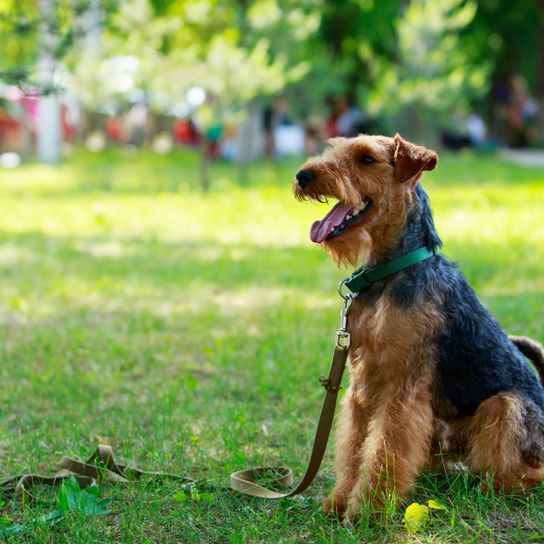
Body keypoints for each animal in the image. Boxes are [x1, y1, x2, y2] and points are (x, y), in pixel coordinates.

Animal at [296, 133, 544, 520]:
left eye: (366, 158)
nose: (303, 175)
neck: (389, 272)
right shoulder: (362, 382)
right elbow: (355, 446)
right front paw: (338, 502)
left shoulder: (403, 385)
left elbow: (384, 449)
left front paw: (367, 512)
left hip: (505, 407)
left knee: (521, 469)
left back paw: (496, 487)